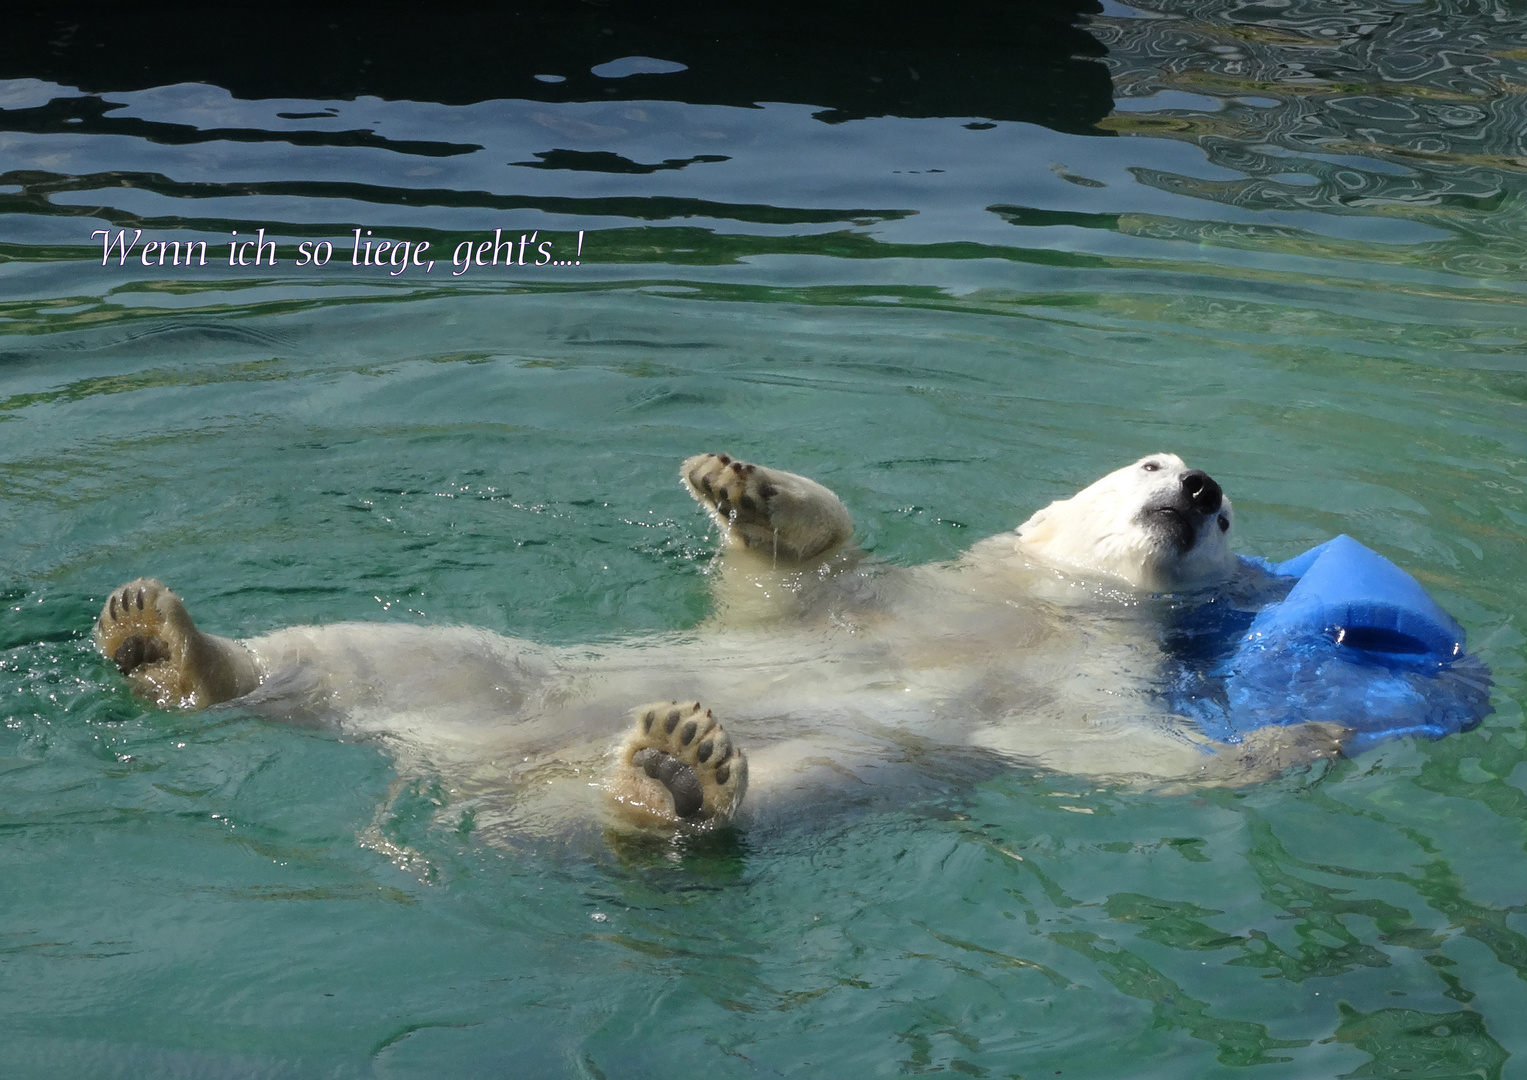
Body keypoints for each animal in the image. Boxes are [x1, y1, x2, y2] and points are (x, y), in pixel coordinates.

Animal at [95, 449, 1343, 837]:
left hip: (830, 764)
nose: (1201, 486)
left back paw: (670, 776)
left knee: (755, 789)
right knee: (371, 652)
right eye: (1150, 461)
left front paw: (1300, 740)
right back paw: (167, 642)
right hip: (482, 677)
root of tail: (480, 781)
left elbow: (1113, 747)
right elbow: (803, 567)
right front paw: (737, 485)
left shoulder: (1088, 676)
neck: (1055, 604)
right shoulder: (917, 591)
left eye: (1228, 513)